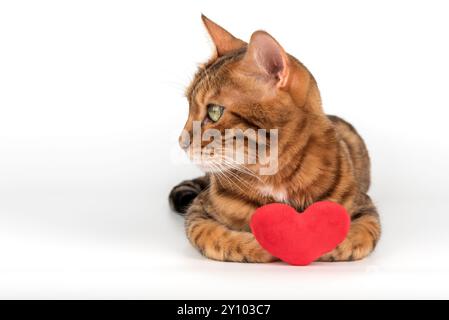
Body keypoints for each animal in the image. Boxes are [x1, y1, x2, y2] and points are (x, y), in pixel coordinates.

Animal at [170, 15, 380, 262]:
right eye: (189, 106)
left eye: (214, 112)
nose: (181, 142)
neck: (278, 175)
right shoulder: (198, 211)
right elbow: (218, 237)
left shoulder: (366, 209)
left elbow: (356, 238)